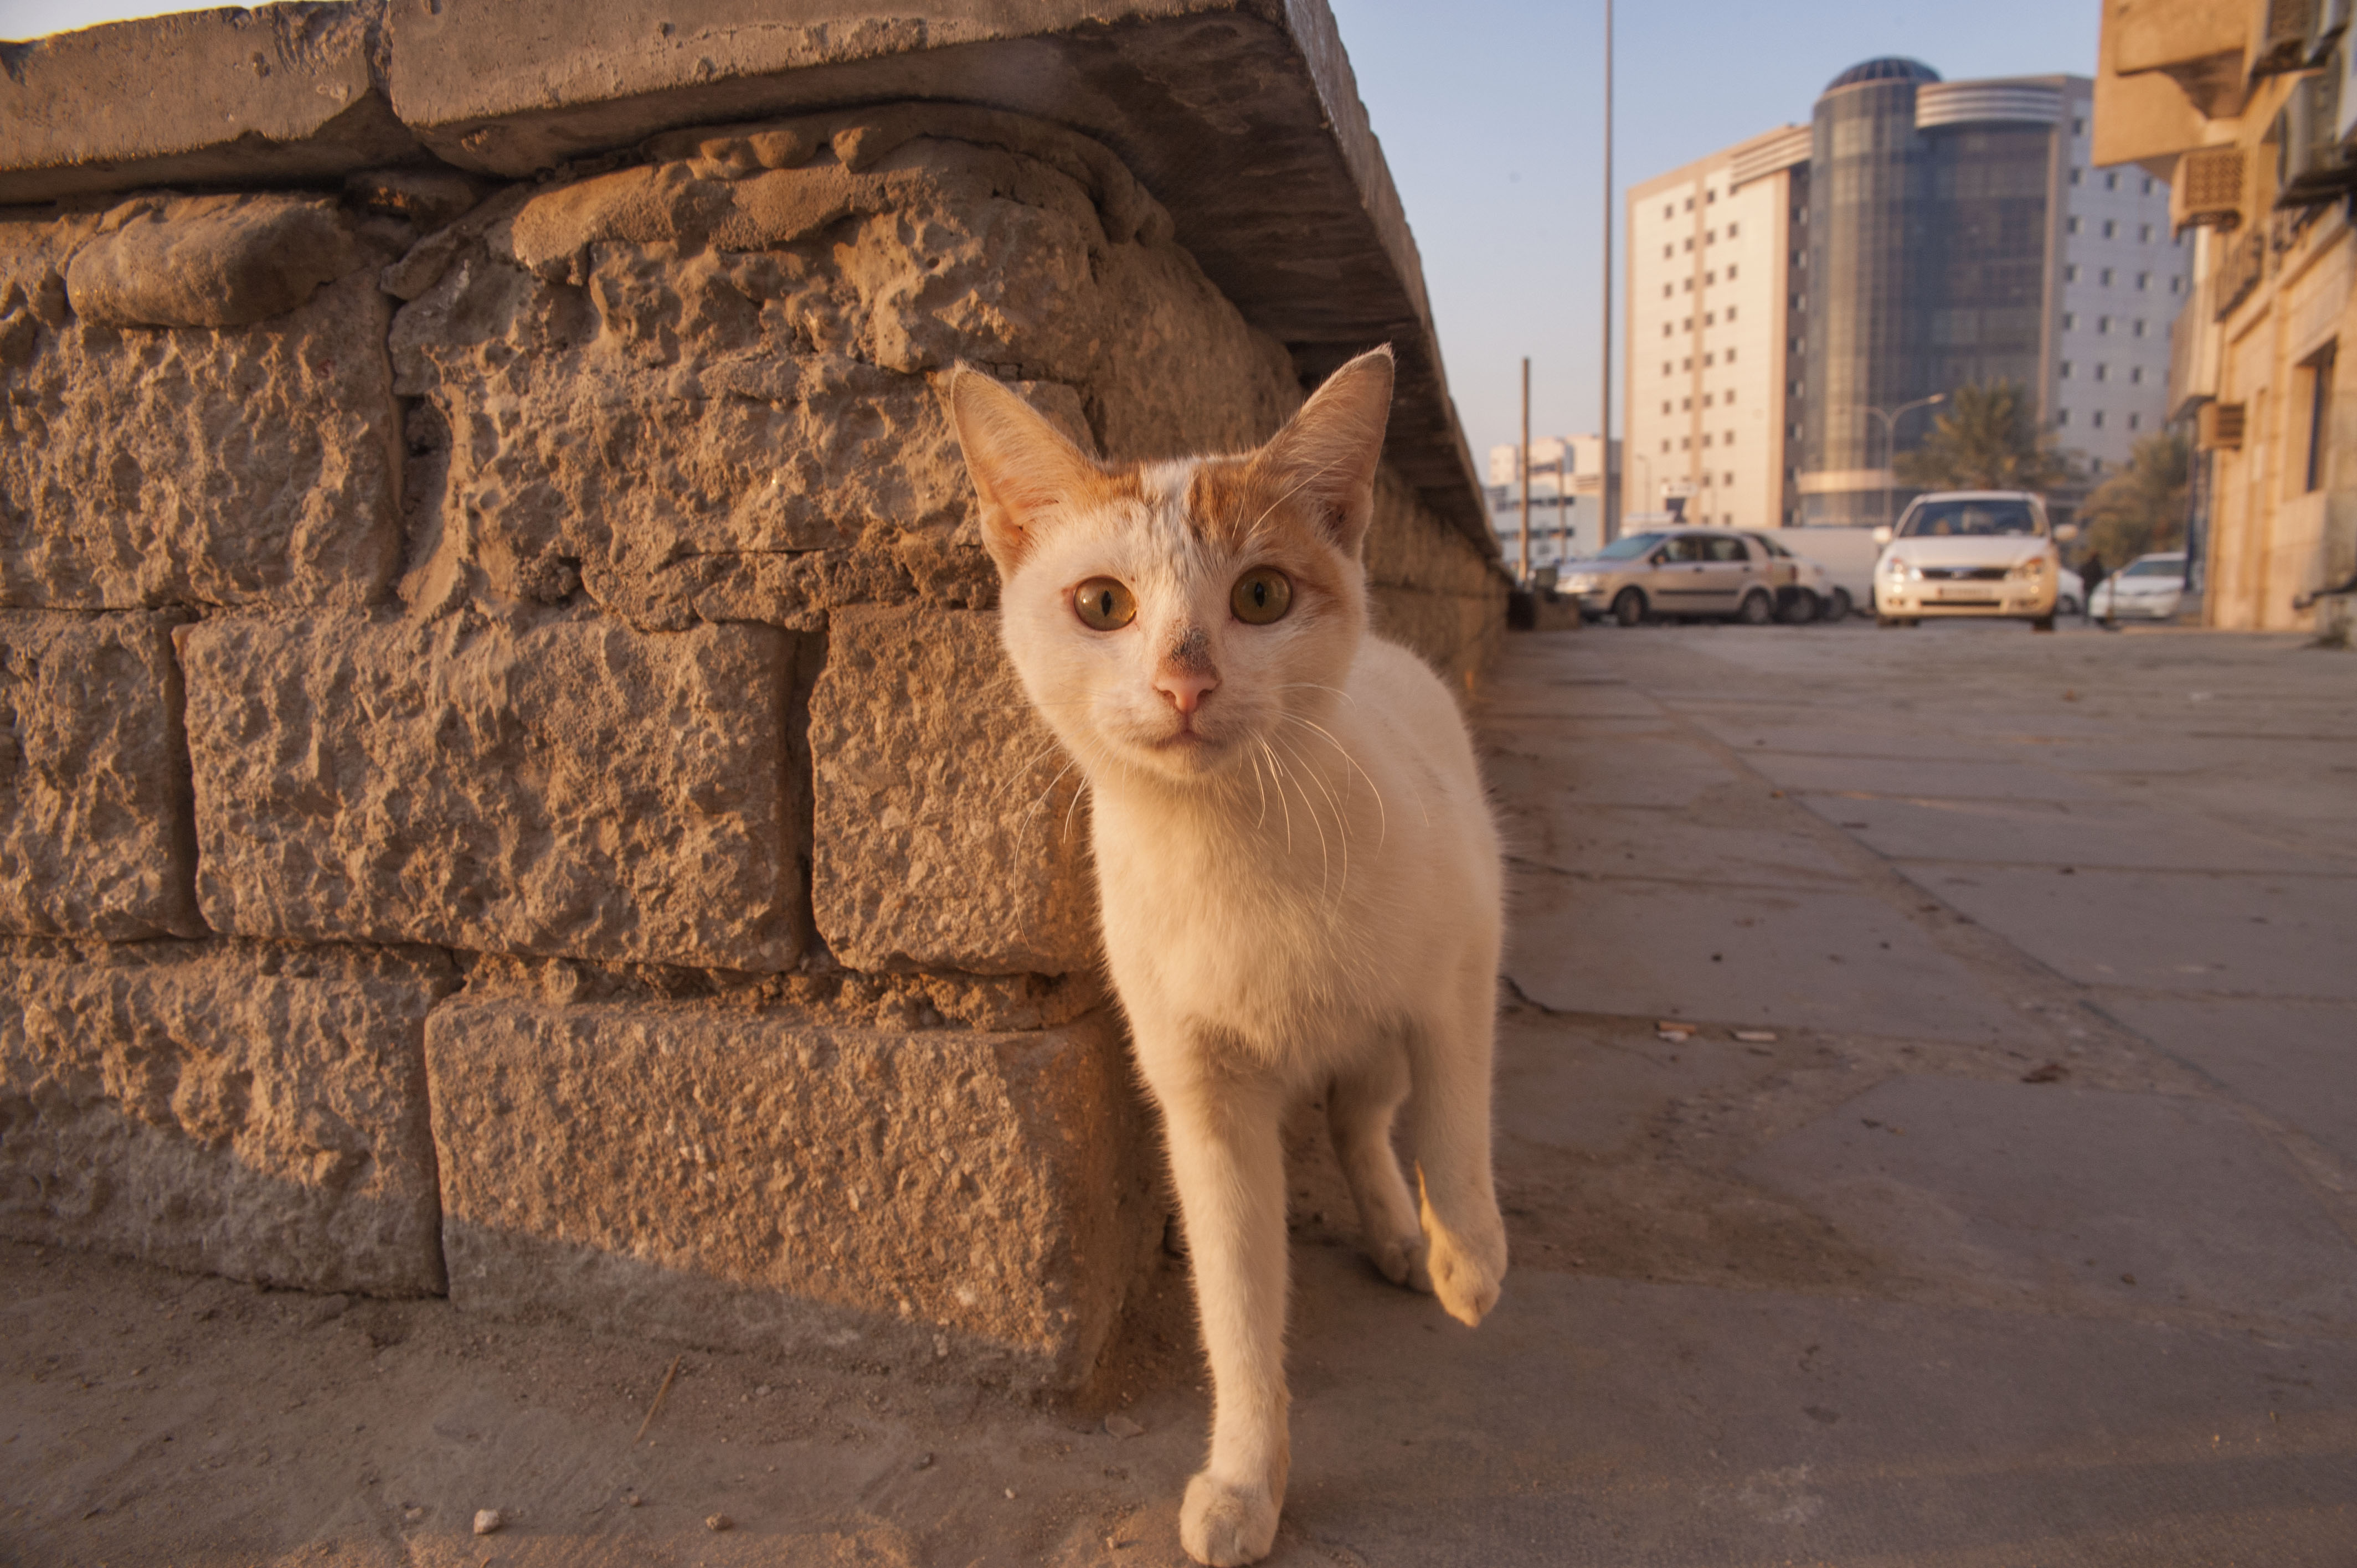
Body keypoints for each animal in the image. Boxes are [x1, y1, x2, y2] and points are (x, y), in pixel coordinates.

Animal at [943, 349, 1508, 1556]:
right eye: (1102, 605)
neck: (1234, 846)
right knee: (1351, 1118)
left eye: (1262, 597)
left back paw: (1416, 1240)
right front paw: (1249, 1482)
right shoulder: (1204, 1100)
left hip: (1390, 1014)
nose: (1185, 680)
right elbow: (1238, 1307)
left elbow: (1457, 1105)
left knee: (1375, 1108)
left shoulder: (1468, 945)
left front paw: (1470, 1258)